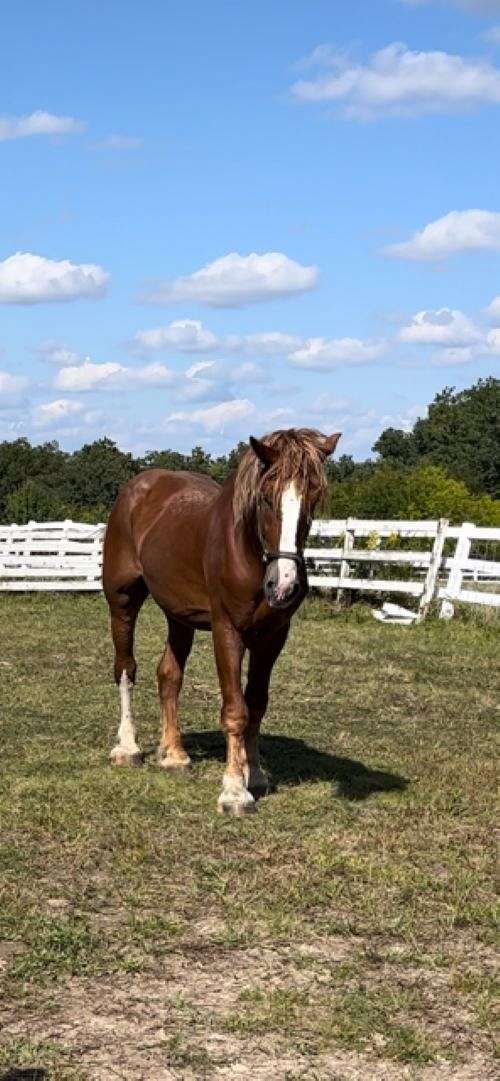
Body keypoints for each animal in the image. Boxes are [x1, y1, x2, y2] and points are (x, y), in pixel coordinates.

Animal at [103, 425, 343, 812]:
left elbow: (256, 705)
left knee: (169, 675)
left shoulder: (272, 636)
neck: (245, 550)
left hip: (179, 616)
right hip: (122, 601)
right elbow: (235, 710)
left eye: (313, 497)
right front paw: (234, 790)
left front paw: (254, 775)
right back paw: (128, 748)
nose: (284, 585)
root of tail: (137, 488)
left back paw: (174, 754)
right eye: (265, 498)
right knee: (126, 668)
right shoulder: (227, 630)